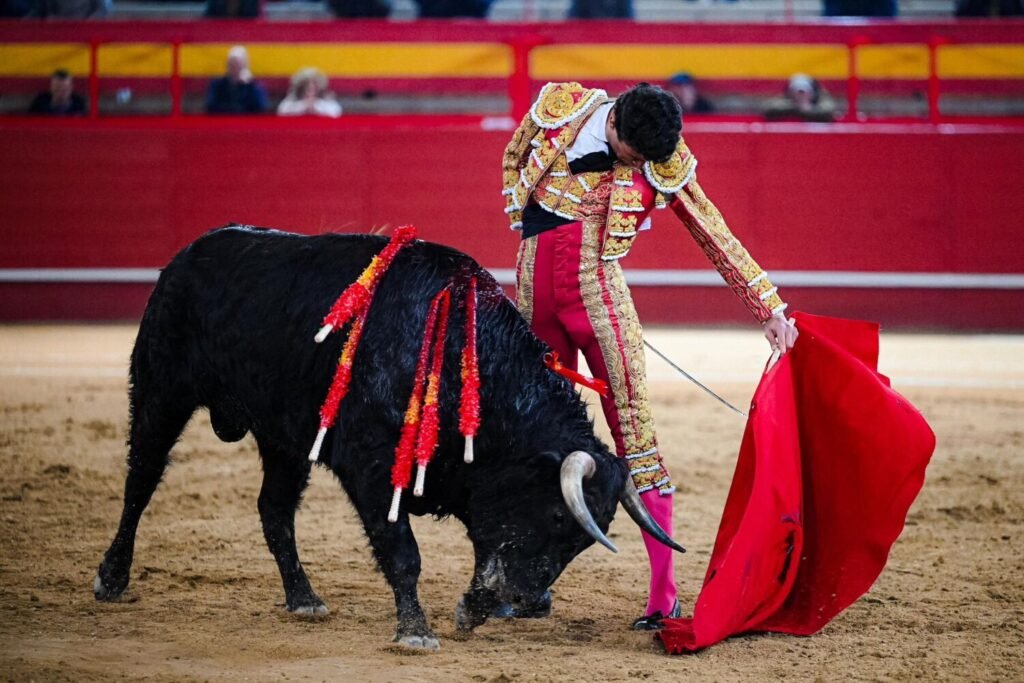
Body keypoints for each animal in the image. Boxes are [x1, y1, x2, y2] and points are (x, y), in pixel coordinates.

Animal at [93, 226, 684, 649]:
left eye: (585, 540)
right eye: (560, 516)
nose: (533, 602)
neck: (468, 363)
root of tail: (188, 254)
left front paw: (469, 610)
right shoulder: (375, 467)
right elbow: (403, 551)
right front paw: (415, 631)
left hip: (286, 438)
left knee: (274, 510)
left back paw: (304, 598)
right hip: (161, 391)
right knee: (140, 482)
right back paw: (111, 579)